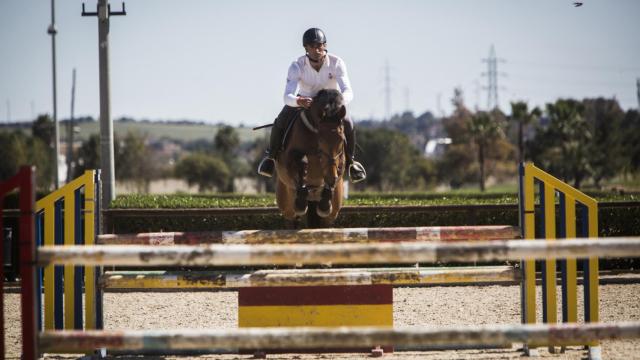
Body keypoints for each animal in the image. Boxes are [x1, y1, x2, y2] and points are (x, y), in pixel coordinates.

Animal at [274, 88, 344, 228]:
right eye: (321, 139)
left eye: (341, 139)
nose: (331, 177)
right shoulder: (288, 160)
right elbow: (301, 161)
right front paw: (301, 201)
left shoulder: (338, 162)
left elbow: (336, 172)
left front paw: (325, 202)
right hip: (287, 204)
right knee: (291, 218)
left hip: (332, 212)